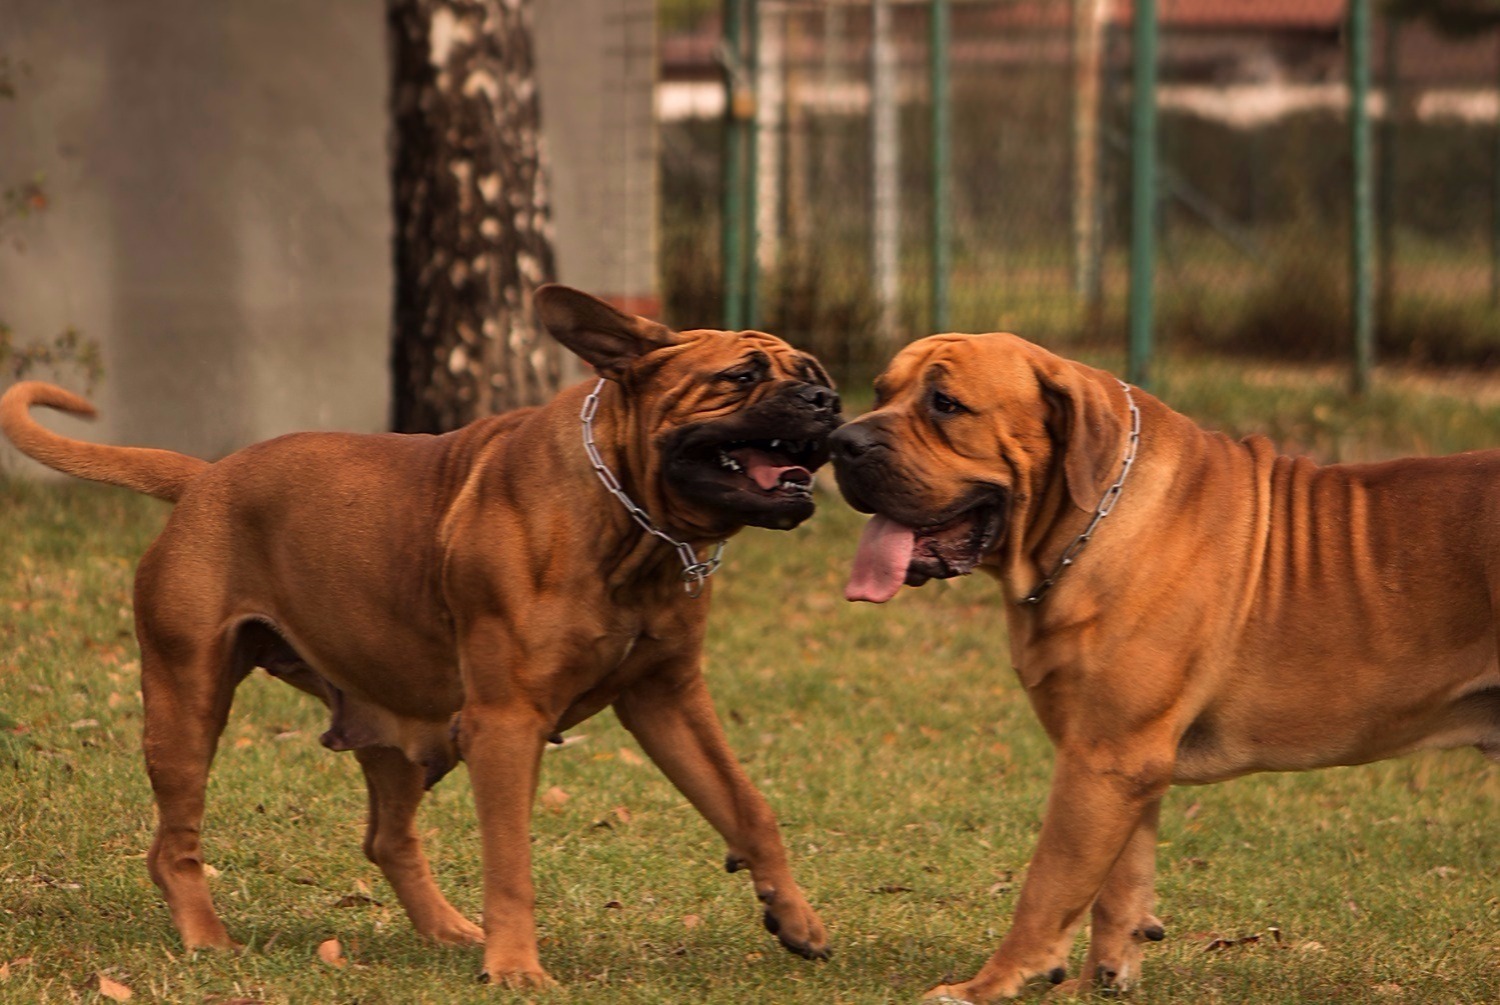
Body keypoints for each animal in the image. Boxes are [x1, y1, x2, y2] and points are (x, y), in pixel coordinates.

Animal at [2, 285, 846, 990]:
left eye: (813, 371)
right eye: (740, 376)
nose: (828, 399)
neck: (631, 521)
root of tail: (203, 477)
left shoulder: (667, 698)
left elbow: (748, 805)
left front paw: (795, 914)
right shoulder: (508, 722)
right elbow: (510, 859)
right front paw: (516, 967)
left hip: (402, 724)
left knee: (387, 837)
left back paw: (446, 929)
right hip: (188, 702)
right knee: (174, 843)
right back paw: (208, 938)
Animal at [834, 333, 1500, 1002]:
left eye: (945, 404)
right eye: (881, 391)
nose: (843, 440)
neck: (1087, 522)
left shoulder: (1103, 759)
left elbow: (1048, 885)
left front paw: (989, 985)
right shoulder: (1122, 767)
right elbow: (1119, 886)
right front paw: (1100, 983)